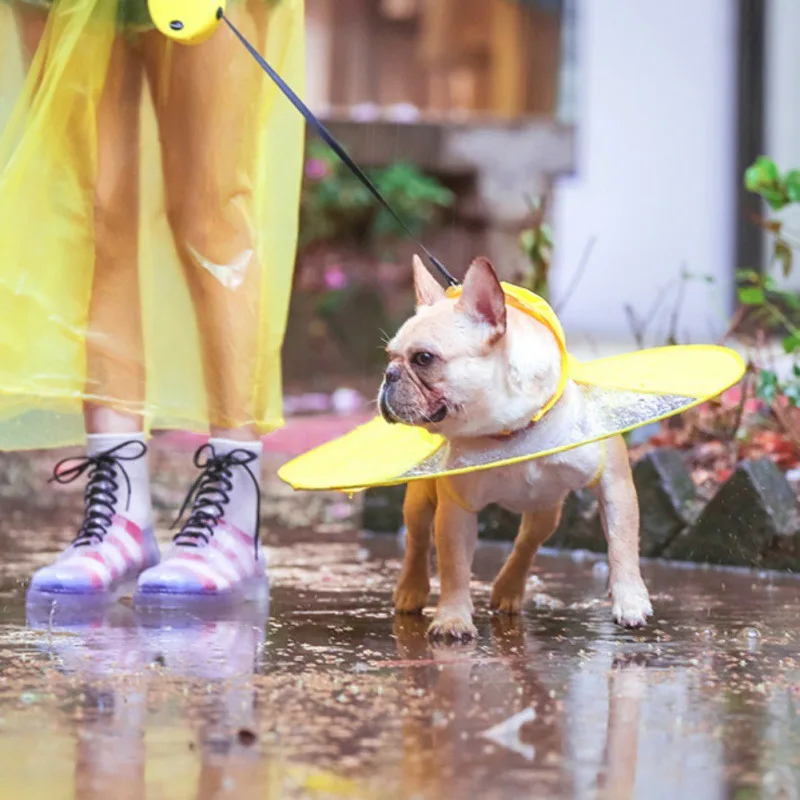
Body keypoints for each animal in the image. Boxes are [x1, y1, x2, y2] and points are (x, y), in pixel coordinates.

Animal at [380, 260, 648, 640]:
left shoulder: (613, 483)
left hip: (546, 509)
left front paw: (630, 600)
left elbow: (622, 543)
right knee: (417, 540)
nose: (389, 374)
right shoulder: (456, 508)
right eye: (390, 356)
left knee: (527, 542)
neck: (512, 427)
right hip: (420, 500)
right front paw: (453, 618)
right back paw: (410, 590)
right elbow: (454, 564)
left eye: (424, 358)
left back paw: (508, 589)